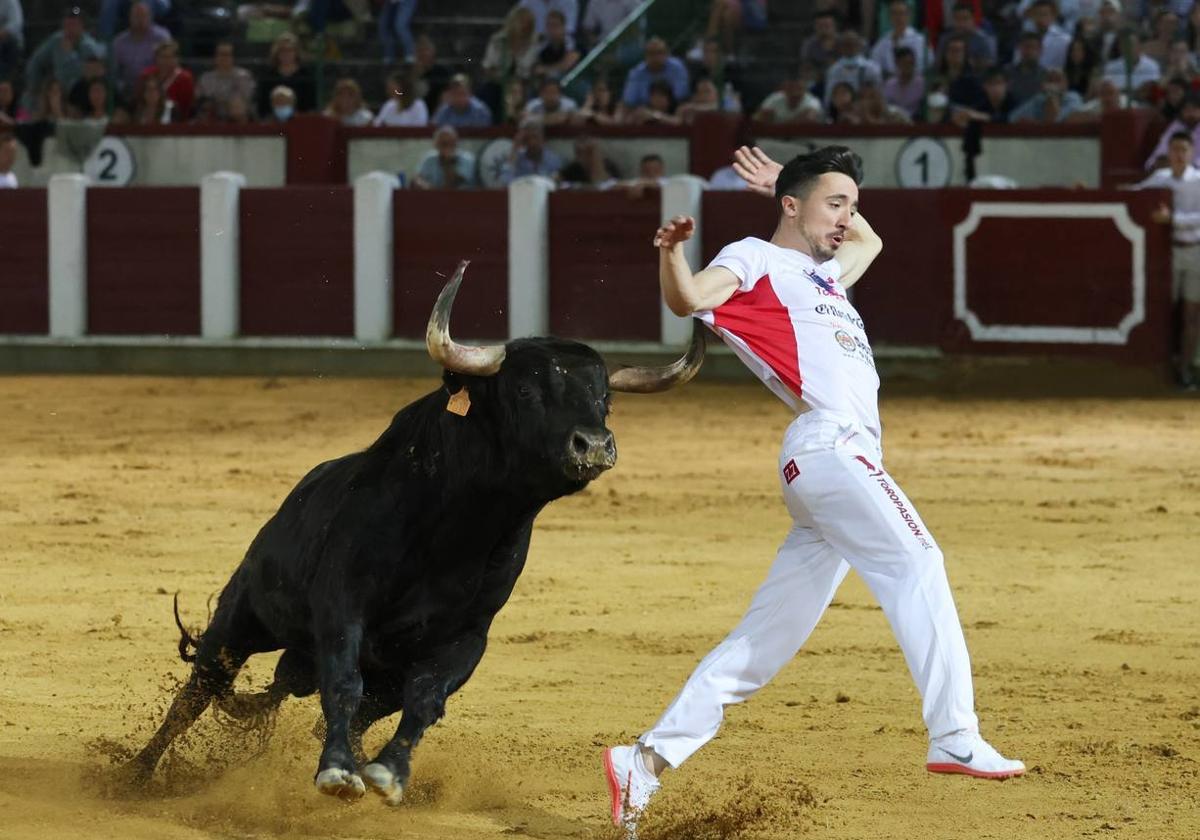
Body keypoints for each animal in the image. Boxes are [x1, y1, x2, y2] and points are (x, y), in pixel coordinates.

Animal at [124, 260, 700, 801]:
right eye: (523, 389)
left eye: (605, 397)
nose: (594, 445)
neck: (459, 532)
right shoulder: (342, 606)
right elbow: (342, 682)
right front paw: (337, 771)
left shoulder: (466, 639)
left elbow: (425, 701)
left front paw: (387, 772)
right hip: (240, 617)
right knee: (199, 689)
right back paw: (134, 775)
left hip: (368, 670)